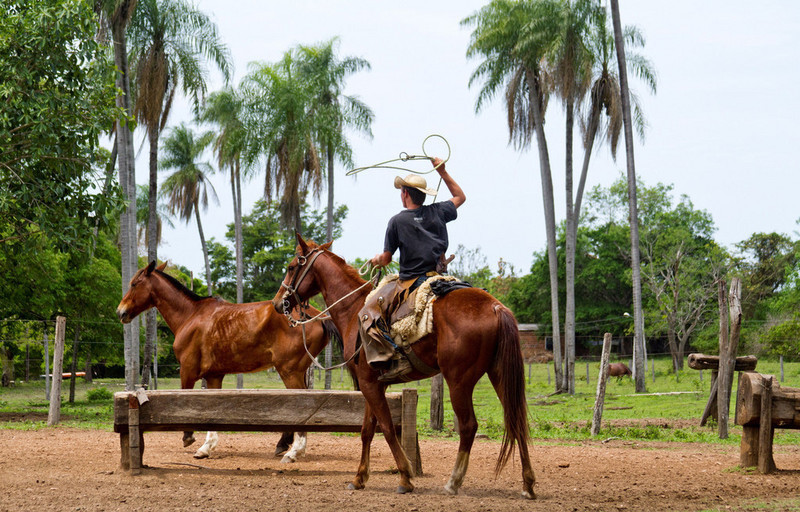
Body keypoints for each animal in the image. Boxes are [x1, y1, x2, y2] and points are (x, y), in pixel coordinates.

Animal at [116, 262, 338, 462]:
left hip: (289, 371)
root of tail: (316, 316)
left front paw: (188, 437)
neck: (191, 315)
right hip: (297, 371)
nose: (121, 312)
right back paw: (284, 444)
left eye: (134, 283)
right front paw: (206, 447)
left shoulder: (187, 371)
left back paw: (294, 451)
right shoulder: (214, 375)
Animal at [276, 237, 536, 500]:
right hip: (499, 374)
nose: (278, 303)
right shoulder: (374, 384)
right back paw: (528, 484)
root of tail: (496, 308)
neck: (353, 310)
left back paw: (454, 481)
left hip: (458, 381)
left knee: (469, 426)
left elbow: (387, 428)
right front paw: (359, 478)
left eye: (290, 266)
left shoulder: (368, 384)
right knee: (516, 420)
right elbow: (367, 430)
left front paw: (405, 477)